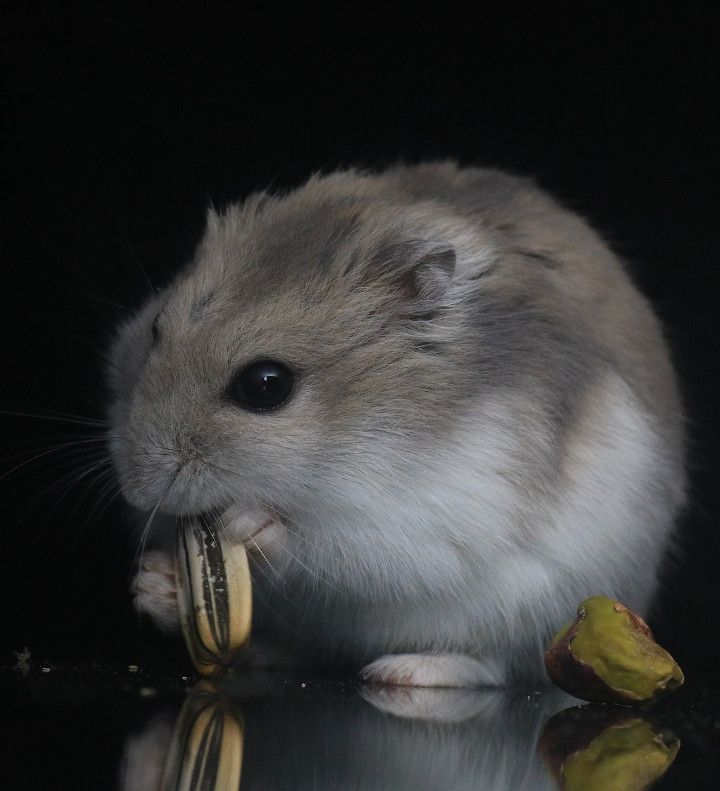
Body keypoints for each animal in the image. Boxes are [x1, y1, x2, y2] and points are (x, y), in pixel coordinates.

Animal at [108, 162, 685, 687]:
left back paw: (404, 673)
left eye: (265, 385)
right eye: (155, 330)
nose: (137, 492)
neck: (352, 432)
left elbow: (324, 545)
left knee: (489, 666)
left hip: (536, 609)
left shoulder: (427, 516)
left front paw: (245, 524)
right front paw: (152, 583)